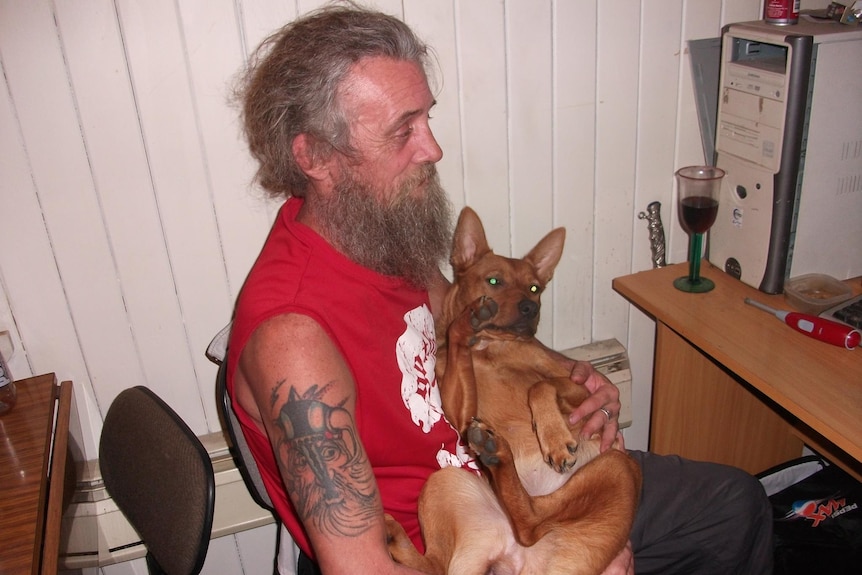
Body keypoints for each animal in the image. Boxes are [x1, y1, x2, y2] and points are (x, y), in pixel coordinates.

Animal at [388, 208, 644, 575]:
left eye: (535, 288)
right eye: (495, 281)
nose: (529, 308)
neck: (490, 348)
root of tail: (521, 562)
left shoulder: (579, 390)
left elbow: (539, 384)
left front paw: (554, 437)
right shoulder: (461, 412)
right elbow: (462, 348)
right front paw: (466, 322)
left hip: (619, 467)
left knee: (530, 522)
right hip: (445, 484)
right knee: (441, 562)